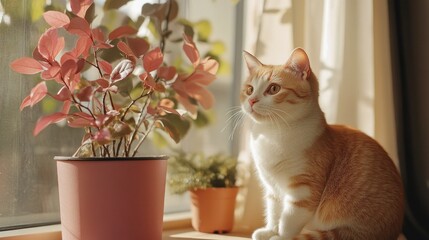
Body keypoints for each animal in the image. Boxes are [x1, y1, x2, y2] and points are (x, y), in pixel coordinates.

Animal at [242, 47, 402, 239]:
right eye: (249, 89)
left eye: (274, 88)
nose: (251, 100)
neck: (273, 133)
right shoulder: (272, 188)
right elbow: (274, 211)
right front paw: (270, 230)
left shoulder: (304, 191)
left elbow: (288, 220)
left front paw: (281, 236)